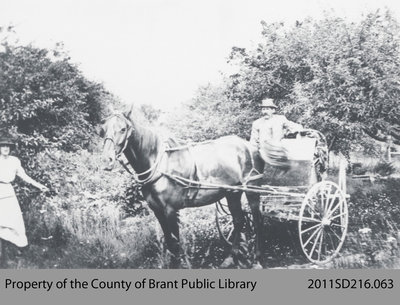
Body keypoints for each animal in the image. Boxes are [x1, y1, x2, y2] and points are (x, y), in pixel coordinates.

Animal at [99, 108, 266, 268]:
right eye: (103, 130)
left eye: (123, 129)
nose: (107, 160)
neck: (160, 164)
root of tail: (249, 146)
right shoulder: (157, 210)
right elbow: (168, 240)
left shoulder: (171, 210)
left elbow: (175, 242)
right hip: (232, 193)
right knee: (238, 220)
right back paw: (231, 258)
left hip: (252, 189)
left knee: (256, 219)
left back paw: (257, 259)